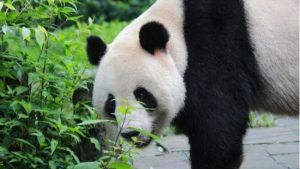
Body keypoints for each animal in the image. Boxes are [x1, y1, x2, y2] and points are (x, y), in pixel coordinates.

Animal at [85, 0, 298, 168]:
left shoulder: (217, 49)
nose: (131, 132)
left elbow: (217, 133)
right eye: (111, 103)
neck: (179, 32)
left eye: (142, 94)